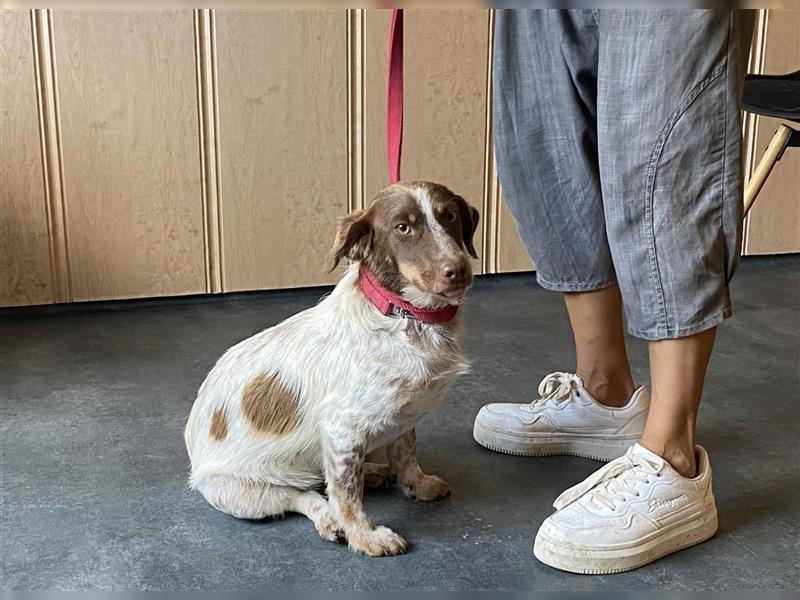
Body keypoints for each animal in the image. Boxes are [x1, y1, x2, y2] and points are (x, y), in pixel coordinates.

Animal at [184, 180, 478, 556]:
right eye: (403, 227)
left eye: (450, 216)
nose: (458, 270)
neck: (406, 318)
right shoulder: (342, 426)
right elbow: (346, 493)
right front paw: (365, 536)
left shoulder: (403, 415)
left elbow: (405, 453)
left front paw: (417, 484)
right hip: (242, 493)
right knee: (303, 495)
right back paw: (330, 519)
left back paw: (372, 472)